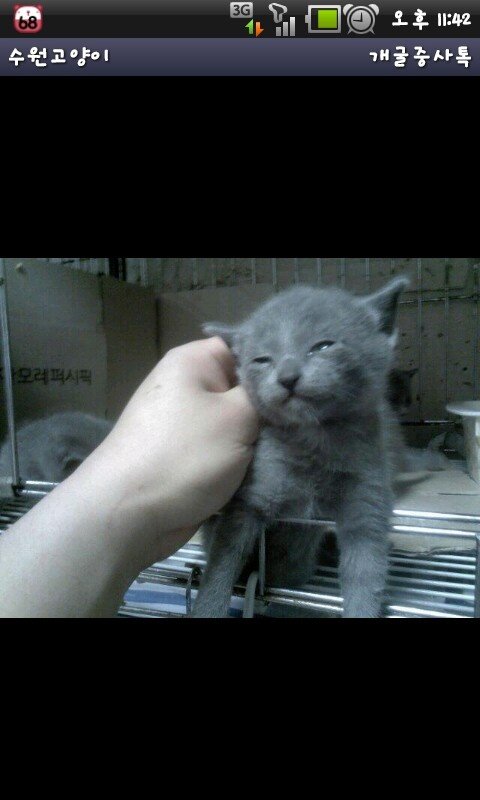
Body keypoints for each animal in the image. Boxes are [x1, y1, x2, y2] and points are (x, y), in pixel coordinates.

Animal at [191, 277, 410, 618]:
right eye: (262, 360)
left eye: (323, 346)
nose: (287, 377)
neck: (312, 443)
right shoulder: (248, 500)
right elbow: (223, 561)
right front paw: (207, 608)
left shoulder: (367, 497)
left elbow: (365, 573)